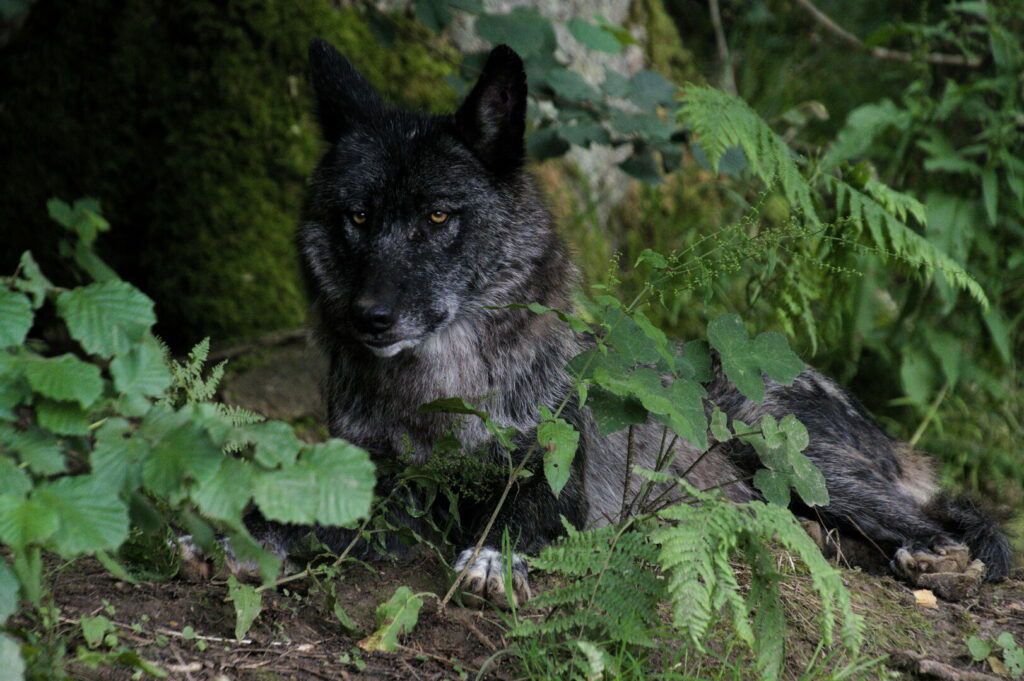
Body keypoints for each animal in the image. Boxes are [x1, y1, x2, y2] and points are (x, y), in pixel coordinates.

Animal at [260, 38, 1011, 602]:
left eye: (438, 216)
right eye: (358, 217)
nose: (371, 318)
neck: (441, 390)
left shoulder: (551, 471)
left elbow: (518, 515)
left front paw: (492, 560)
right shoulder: (373, 467)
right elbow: (315, 502)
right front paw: (264, 536)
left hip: (789, 453)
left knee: (949, 523)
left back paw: (936, 562)